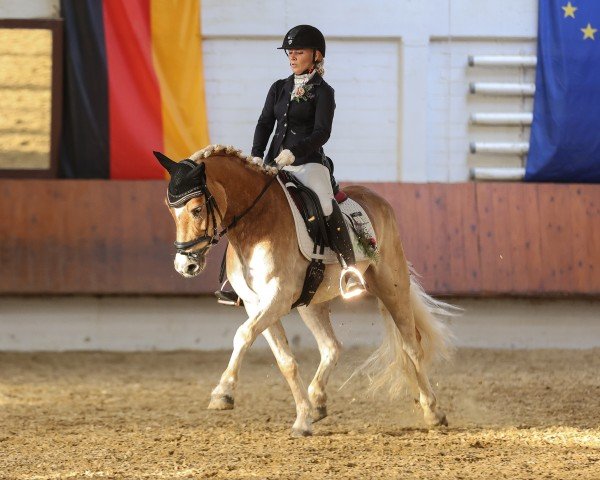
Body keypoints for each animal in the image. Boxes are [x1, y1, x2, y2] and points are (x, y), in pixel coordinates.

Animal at [155, 144, 454, 436]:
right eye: (169, 210)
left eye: (196, 210)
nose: (185, 265)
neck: (256, 224)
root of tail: (375, 197)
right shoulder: (256, 304)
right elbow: (284, 360)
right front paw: (302, 419)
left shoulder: (277, 297)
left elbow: (243, 335)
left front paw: (223, 393)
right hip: (312, 302)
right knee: (332, 347)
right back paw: (317, 402)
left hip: (392, 284)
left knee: (411, 347)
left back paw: (434, 412)